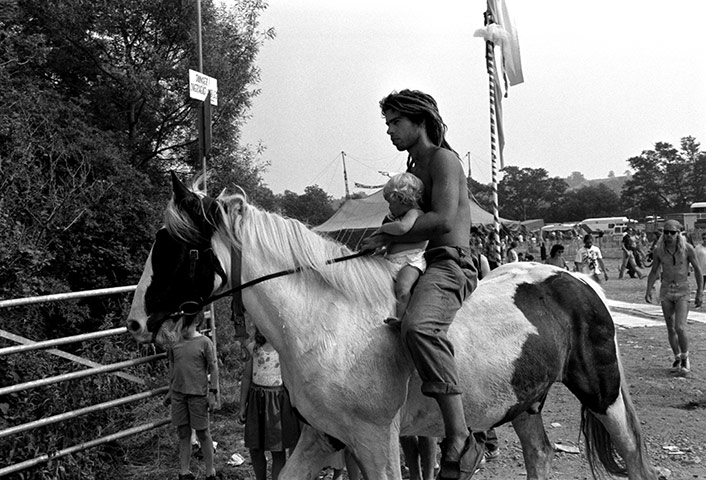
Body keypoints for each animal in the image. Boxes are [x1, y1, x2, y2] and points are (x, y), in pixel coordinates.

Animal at [125, 173, 656, 480]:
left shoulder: (376, 442)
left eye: (174, 249)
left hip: (601, 392)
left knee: (631, 453)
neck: (326, 326)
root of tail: (578, 280)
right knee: (540, 454)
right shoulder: (323, 437)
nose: (134, 323)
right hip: (523, 400)